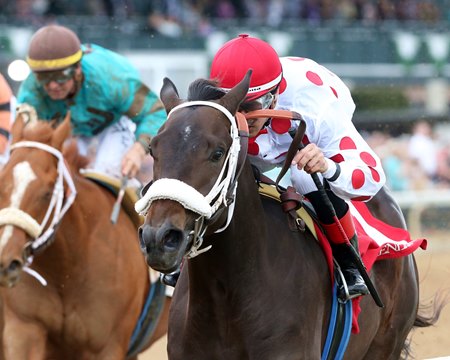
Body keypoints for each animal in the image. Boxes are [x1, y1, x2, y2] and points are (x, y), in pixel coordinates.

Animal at [0, 111, 169, 358]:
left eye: (48, 192)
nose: (5, 262)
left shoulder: (108, 346)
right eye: (0, 182)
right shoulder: (23, 329)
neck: (68, 268)